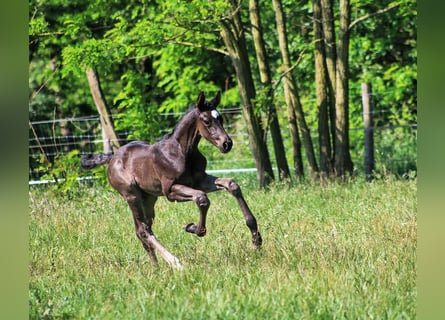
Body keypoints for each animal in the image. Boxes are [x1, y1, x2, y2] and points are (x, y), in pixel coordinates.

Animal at [80, 91, 260, 268]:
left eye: (221, 119)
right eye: (207, 121)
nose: (227, 144)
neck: (183, 152)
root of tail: (111, 158)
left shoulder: (200, 180)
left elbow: (232, 185)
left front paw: (256, 239)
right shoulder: (170, 191)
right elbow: (201, 198)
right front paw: (193, 228)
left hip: (149, 197)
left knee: (144, 229)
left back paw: (156, 268)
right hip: (131, 195)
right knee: (143, 230)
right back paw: (174, 263)